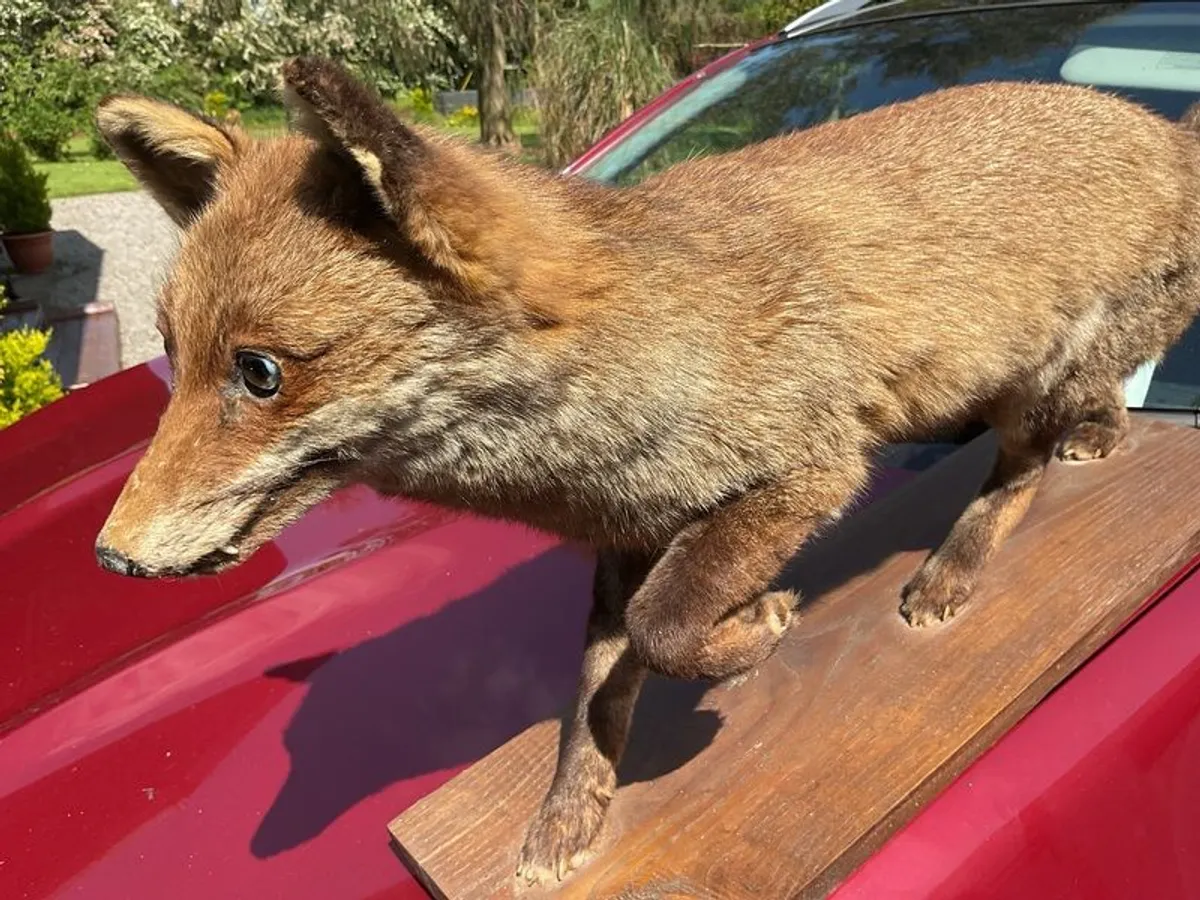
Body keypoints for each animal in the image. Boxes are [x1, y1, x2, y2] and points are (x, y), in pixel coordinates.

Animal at [93, 56, 1200, 884]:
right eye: (171, 353)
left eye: (260, 372)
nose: (109, 558)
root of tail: (1164, 130)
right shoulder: (628, 536)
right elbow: (593, 697)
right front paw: (569, 823)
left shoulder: (807, 471)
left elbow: (670, 627)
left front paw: (757, 628)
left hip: (1038, 374)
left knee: (1021, 466)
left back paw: (958, 565)